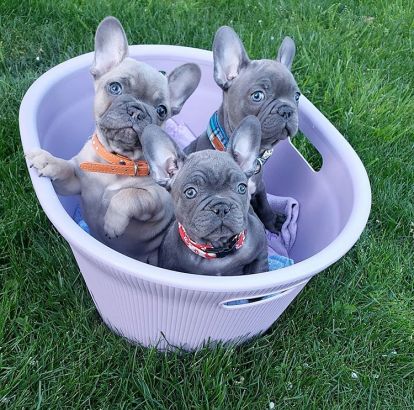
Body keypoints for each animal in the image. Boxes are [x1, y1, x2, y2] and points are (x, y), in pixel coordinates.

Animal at [26, 16, 201, 264]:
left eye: (161, 110)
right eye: (115, 87)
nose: (137, 111)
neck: (118, 162)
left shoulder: (160, 201)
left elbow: (131, 194)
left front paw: (112, 222)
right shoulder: (76, 181)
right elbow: (65, 168)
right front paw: (46, 160)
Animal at [141, 116, 269, 276]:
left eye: (241, 188)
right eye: (190, 192)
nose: (222, 207)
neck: (217, 248)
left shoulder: (261, 249)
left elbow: (260, 269)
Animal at [185, 26, 300, 234]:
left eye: (297, 96)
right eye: (257, 95)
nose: (287, 109)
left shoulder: (260, 188)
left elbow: (265, 206)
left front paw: (273, 222)